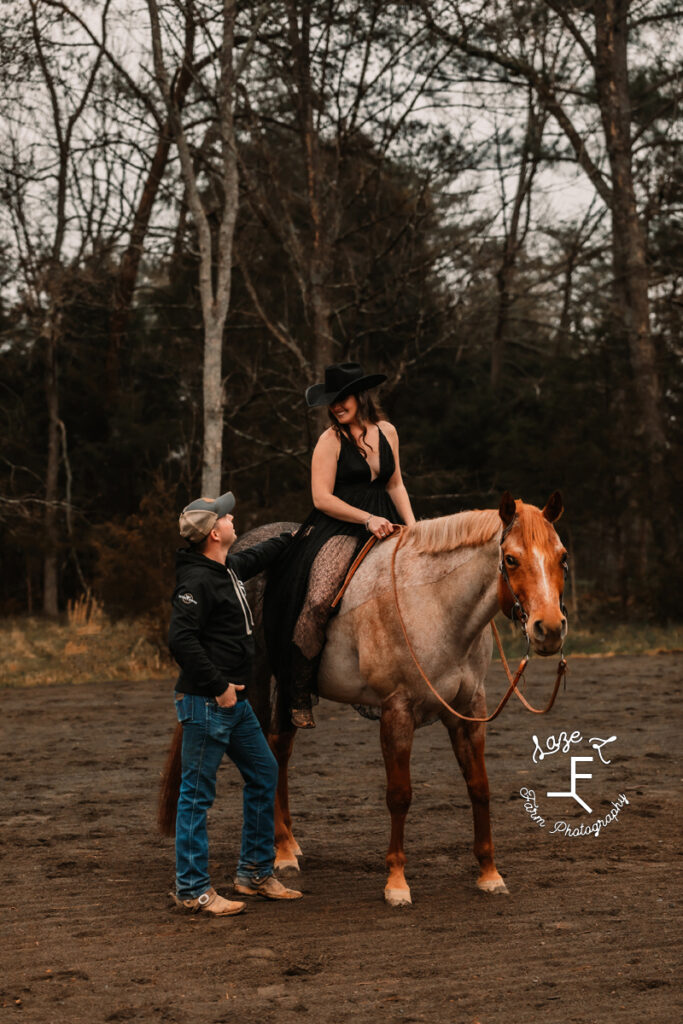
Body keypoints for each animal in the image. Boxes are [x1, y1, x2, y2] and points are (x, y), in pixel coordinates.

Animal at [157, 491, 569, 909]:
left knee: (278, 752)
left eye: (562, 556)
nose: (549, 628)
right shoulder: (396, 711)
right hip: (255, 684)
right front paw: (397, 883)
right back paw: (277, 852)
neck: (433, 603)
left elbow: (479, 787)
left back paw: (287, 846)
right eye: (511, 559)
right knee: (263, 757)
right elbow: (400, 795)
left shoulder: (469, 710)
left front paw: (489, 873)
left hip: (291, 691)